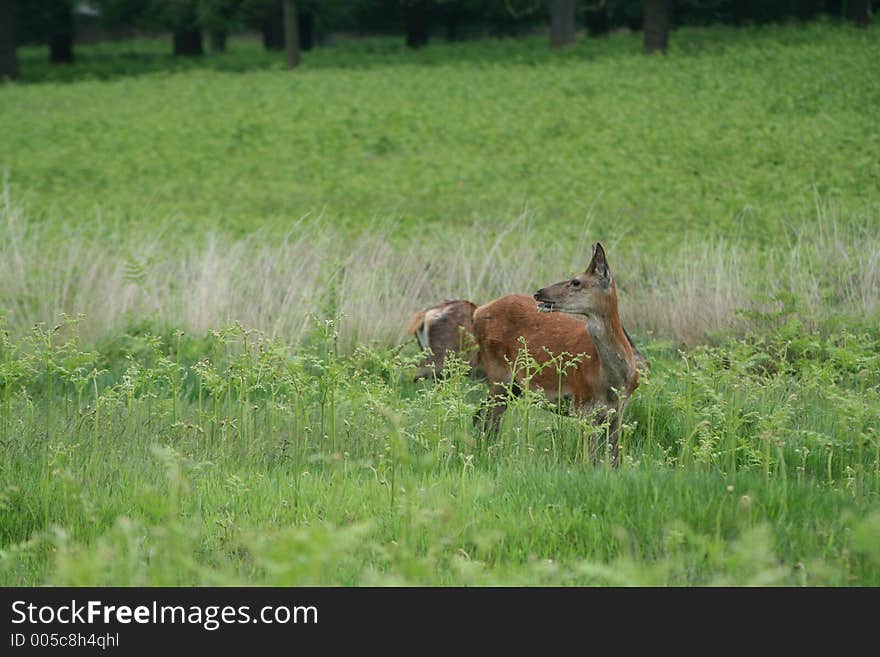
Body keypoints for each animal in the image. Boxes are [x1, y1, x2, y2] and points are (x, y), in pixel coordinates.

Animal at [474, 242, 640, 466]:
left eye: (576, 281)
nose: (539, 292)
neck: (611, 379)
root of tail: (478, 311)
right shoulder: (582, 403)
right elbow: (590, 457)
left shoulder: (619, 409)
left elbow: (612, 458)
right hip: (498, 372)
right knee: (488, 417)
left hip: (512, 384)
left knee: (482, 414)